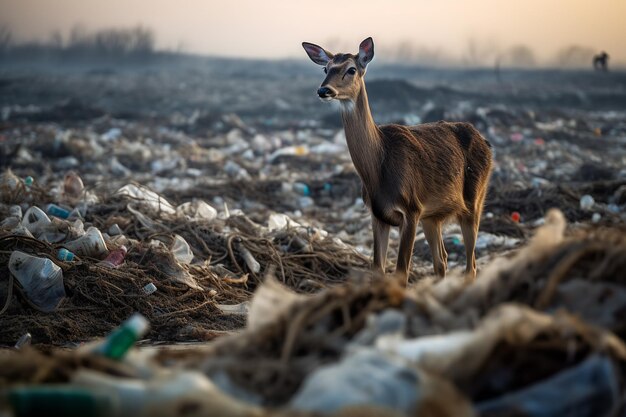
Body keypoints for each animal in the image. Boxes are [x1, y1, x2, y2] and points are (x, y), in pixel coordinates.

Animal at [302, 37, 492, 284]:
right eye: (325, 69)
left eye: (351, 69)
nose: (324, 89)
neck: (379, 168)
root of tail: (486, 142)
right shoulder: (378, 214)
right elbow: (377, 268)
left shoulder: (411, 209)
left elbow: (401, 272)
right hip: (433, 216)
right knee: (442, 260)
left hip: (474, 201)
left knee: (471, 266)